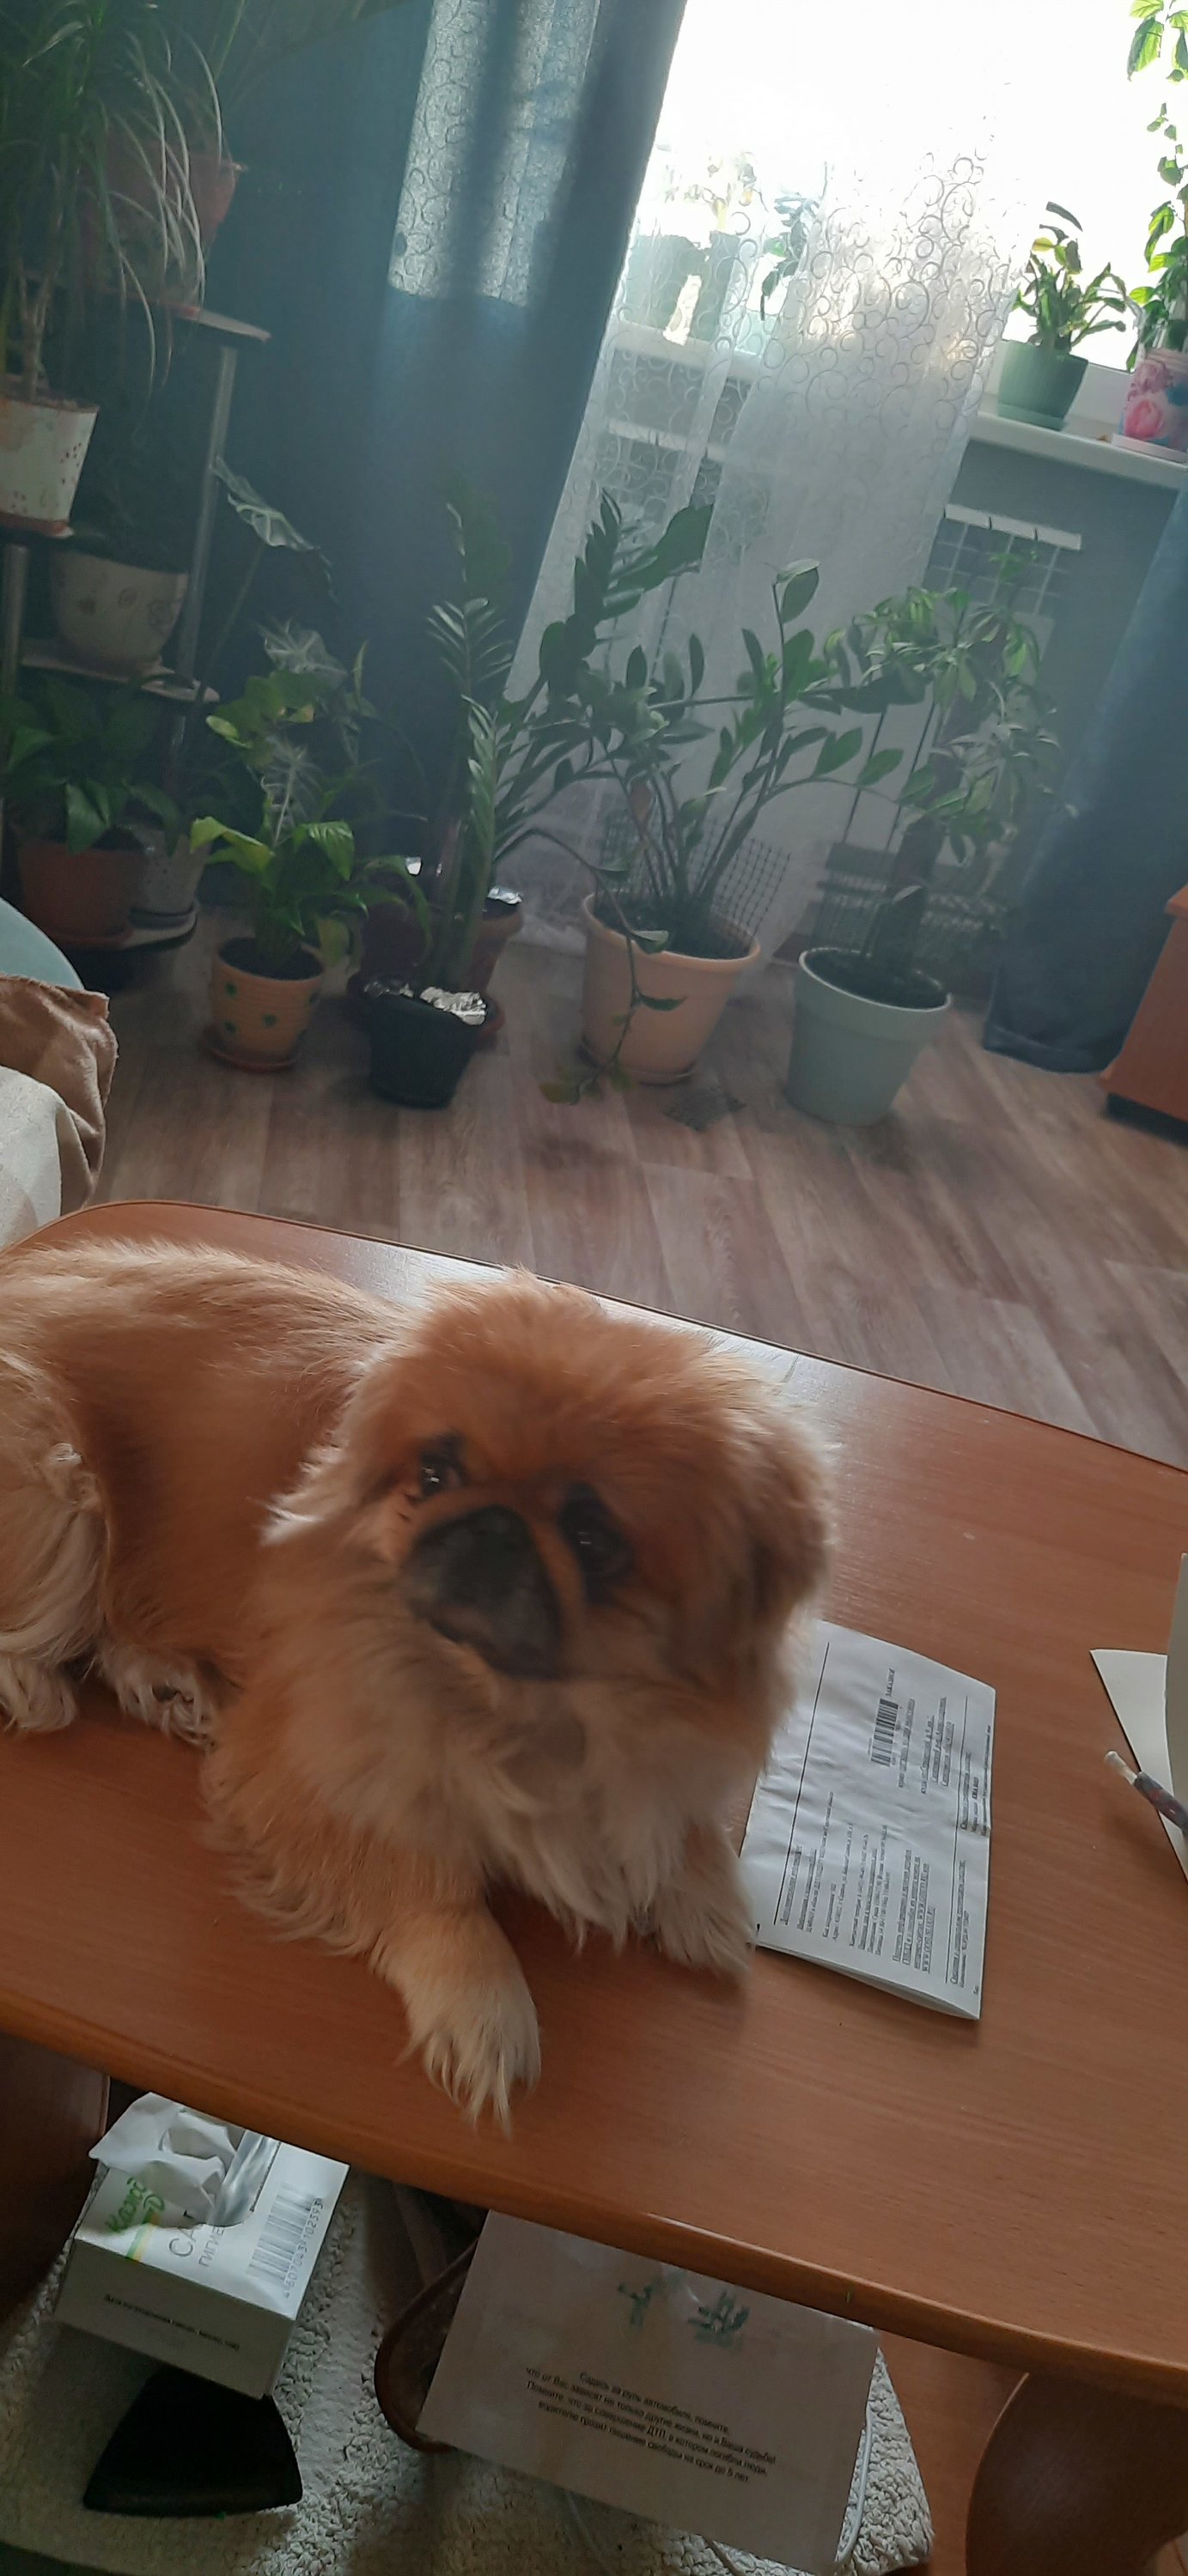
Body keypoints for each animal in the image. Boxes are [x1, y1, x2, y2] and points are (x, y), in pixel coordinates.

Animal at [0, 1241, 829, 2118]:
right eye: (434, 1475)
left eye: (591, 1538)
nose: (494, 1525)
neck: (520, 1707)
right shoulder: (305, 1771)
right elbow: (428, 1888)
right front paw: (483, 2006)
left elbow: (679, 1817)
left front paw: (705, 1896)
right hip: (60, 1496)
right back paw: (37, 1685)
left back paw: (161, 1679)